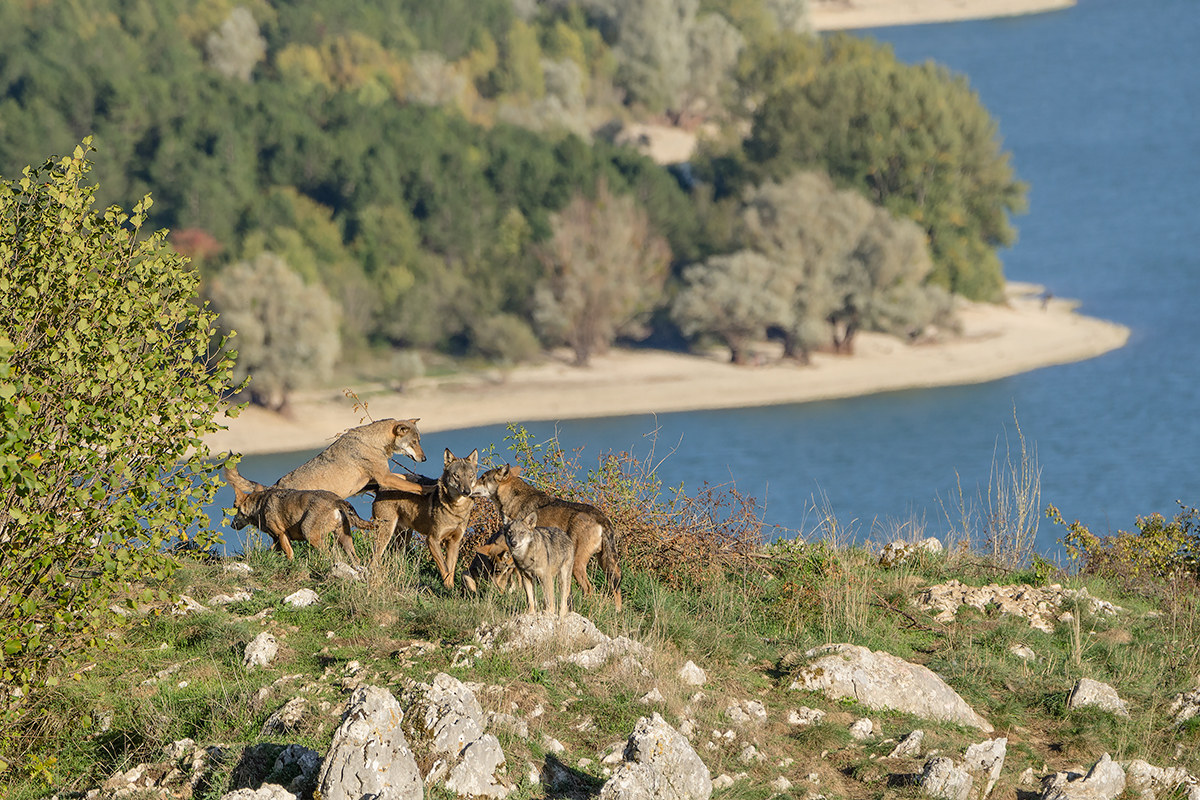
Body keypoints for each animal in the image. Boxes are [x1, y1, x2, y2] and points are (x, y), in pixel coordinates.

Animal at [225, 466, 374, 563]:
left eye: (234, 510)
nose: (231, 525)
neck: (259, 505)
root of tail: (337, 500)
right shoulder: (276, 540)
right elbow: (272, 550)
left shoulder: (282, 535)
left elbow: (289, 554)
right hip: (344, 540)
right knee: (355, 558)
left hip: (309, 533)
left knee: (328, 554)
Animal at [274, 418, 430, 498]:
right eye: (414, 442)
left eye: (419, 441)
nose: (424, 459)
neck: (375, 442)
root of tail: (276, 485)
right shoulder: (384, 478)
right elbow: (415, 487)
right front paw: (427, 489)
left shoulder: (377, 478)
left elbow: (403, 476)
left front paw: (416, 477)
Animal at [370, 448, 479, 588]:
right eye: (456, 476)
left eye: (471, 476)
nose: (467, 491)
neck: (456, 509)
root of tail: (380, 487)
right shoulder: (432, 539)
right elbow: (445, 569)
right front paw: (447, 589)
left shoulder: (454, 542)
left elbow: (451, 571)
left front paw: (451, 589)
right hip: (386, 533)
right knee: (374, 558)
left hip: (404, 538)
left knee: (393, 557)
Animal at [475, 465, 623, 611]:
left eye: (482, 478)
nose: (470, 488)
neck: (514, 498)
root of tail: (602, 518)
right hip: (605, 563)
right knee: (615, 584)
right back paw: (617, 611)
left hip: (576, 565)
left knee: (588, 588)